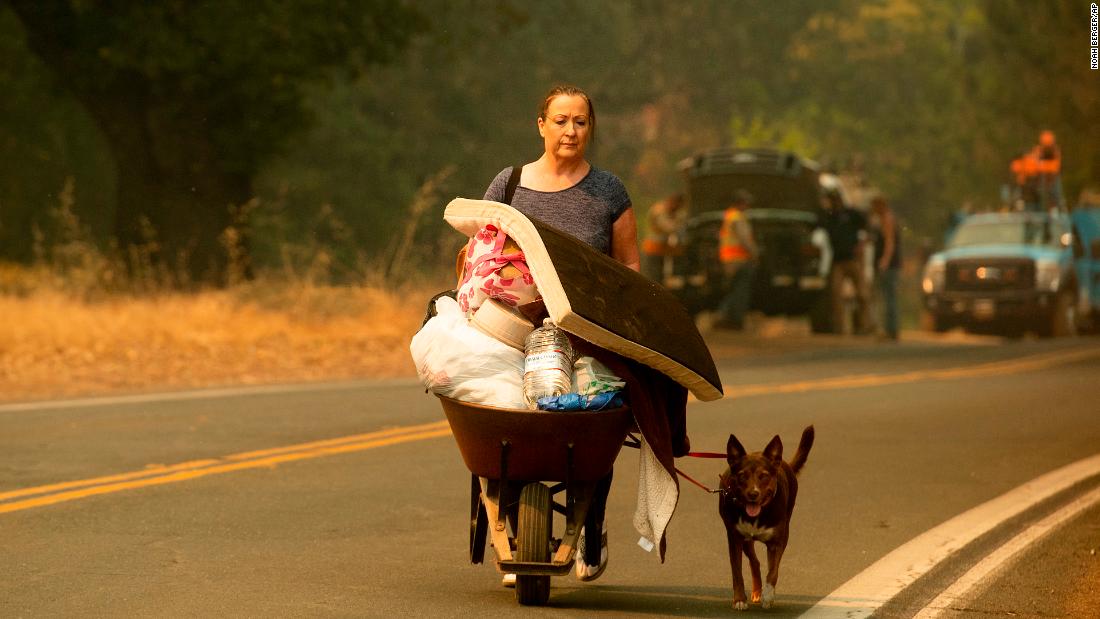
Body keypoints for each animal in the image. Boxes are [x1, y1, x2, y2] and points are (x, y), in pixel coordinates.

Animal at [717, 426, 814, 611]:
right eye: (742, 476)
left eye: (763, 476)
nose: (753, 494)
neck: (758, 514)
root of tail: (782, 461)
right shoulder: (734, 539)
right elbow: (737, 572)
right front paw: (739, 599)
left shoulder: (777, 542)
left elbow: (773, 572)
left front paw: (768, 596)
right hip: (746, 542)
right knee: (755, 563)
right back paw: (756, 592)